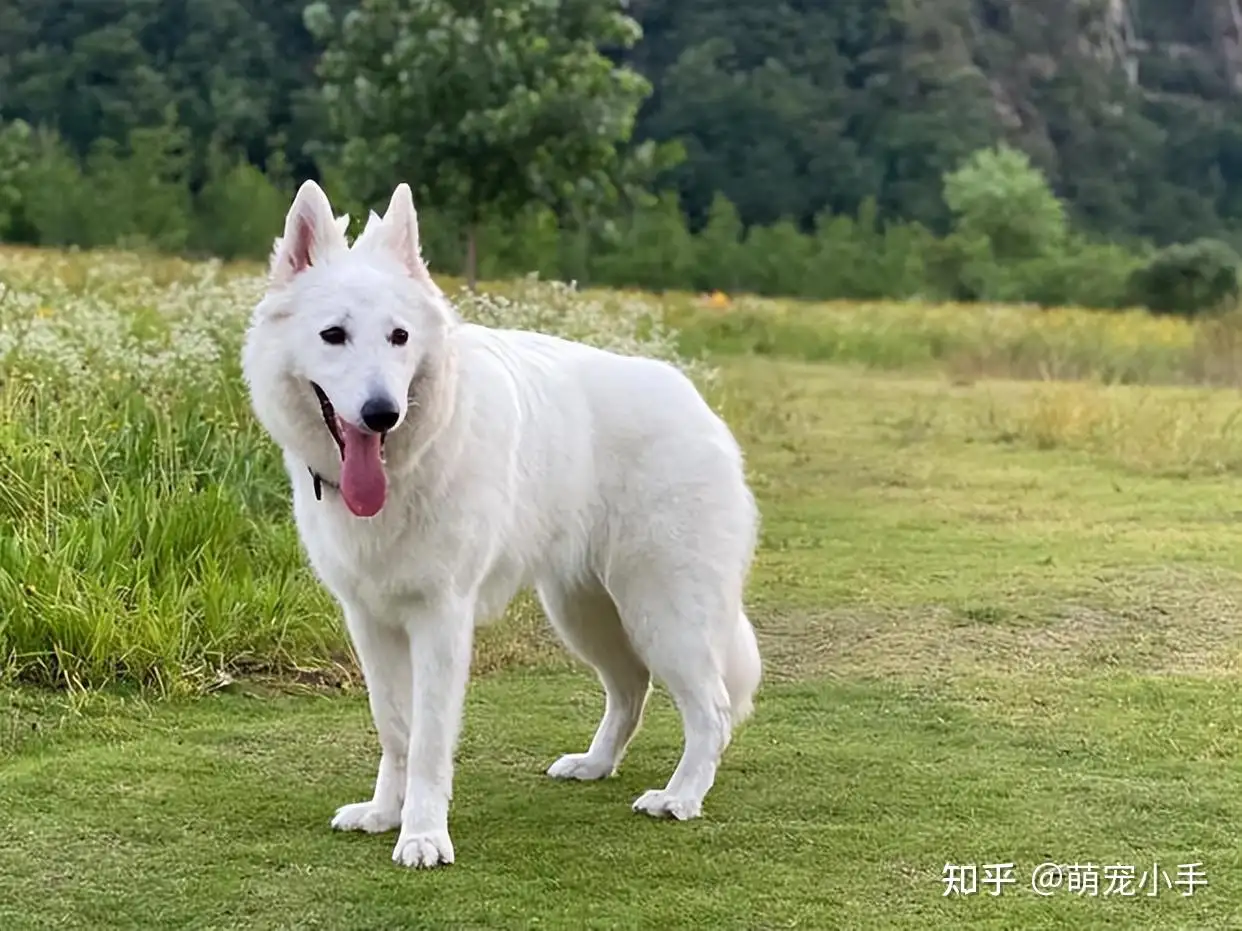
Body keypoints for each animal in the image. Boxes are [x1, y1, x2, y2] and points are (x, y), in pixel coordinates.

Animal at [240, 179, 760, 868]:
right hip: (585, 613)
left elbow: (429, 740)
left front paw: (423, 835)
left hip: (664, 613)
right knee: (630, 689)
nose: (382, 414)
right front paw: (385, 814)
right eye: (333, 335)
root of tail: (696, 402)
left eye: (399, 337)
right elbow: (395, 727)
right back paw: (596, 764)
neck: (410, 463)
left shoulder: (441, 621)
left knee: (712, 709)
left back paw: (680, 797)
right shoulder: (371, 623)